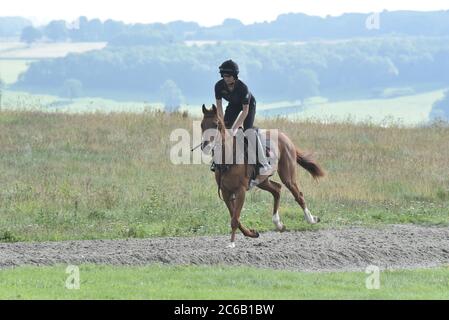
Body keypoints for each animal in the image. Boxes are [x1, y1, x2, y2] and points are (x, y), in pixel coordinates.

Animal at [201, 104, 324, 248]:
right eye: (202, 125)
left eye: (216, 124)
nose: (205, 146)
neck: (228, 158)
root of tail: (285, 137)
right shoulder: (226, 192)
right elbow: (234, 216)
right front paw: (251, 233)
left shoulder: (241, 191)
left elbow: (235, 218)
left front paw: (231, 243)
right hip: (262, 180)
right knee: (277, 189)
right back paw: (278, 223)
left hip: (287, 176)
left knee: (298, 195)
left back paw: (311, 219)